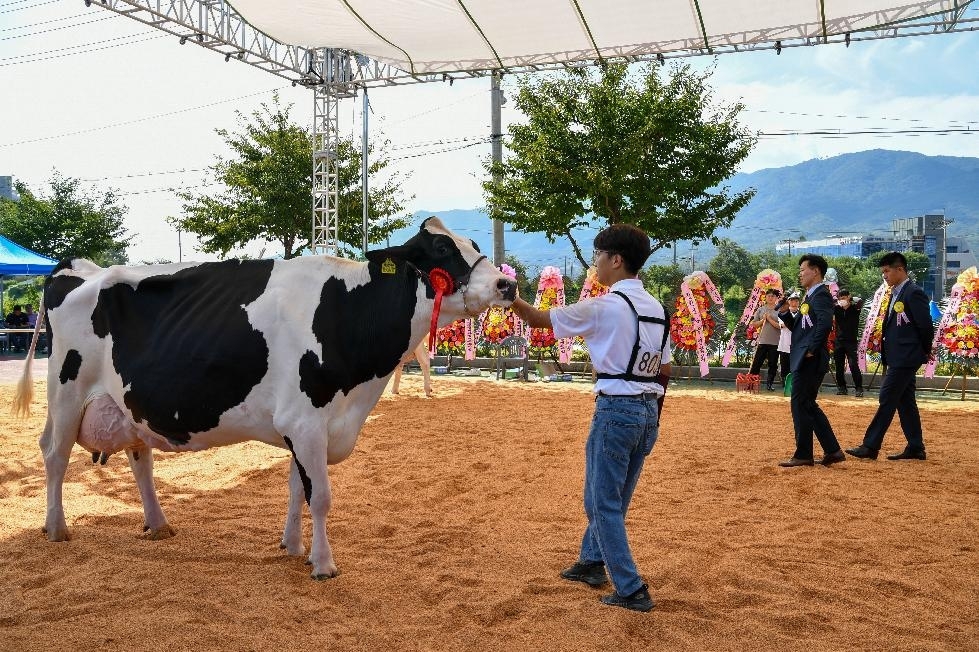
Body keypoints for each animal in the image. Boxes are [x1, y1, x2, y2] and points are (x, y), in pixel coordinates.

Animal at [13, 219, 520, 580]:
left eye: (472, 244)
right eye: (442, 250)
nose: (507, 285)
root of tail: (78, 269)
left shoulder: (306, 427)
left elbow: (298, 487)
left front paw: (292, 547)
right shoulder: (307, 421)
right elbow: (321, 496)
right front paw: (323, 564)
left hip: (128, 405)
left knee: (140, 458)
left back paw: (157, 524)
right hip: (66, 391)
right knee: (54, 454)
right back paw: (56, 528)